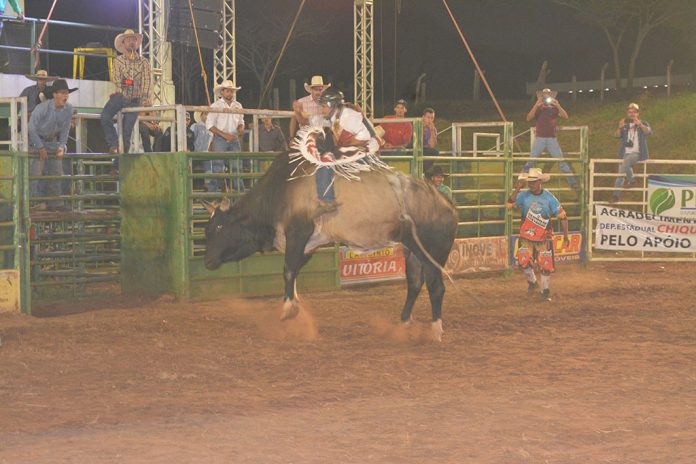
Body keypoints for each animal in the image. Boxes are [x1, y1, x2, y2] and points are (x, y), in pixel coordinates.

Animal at [203, 142, 458, 340]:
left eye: (219, 227)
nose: (208, 261)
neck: (279, 190)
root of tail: (446, 203)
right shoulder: (309, 244)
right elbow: (294, 270)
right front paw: (295, 303)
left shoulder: (299, 232)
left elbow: (288, 269)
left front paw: (288, 309)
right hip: (411, 250)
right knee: (414, 283)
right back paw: (403, 323)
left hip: (431, 249)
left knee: (436, 286)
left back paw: (435, 330)